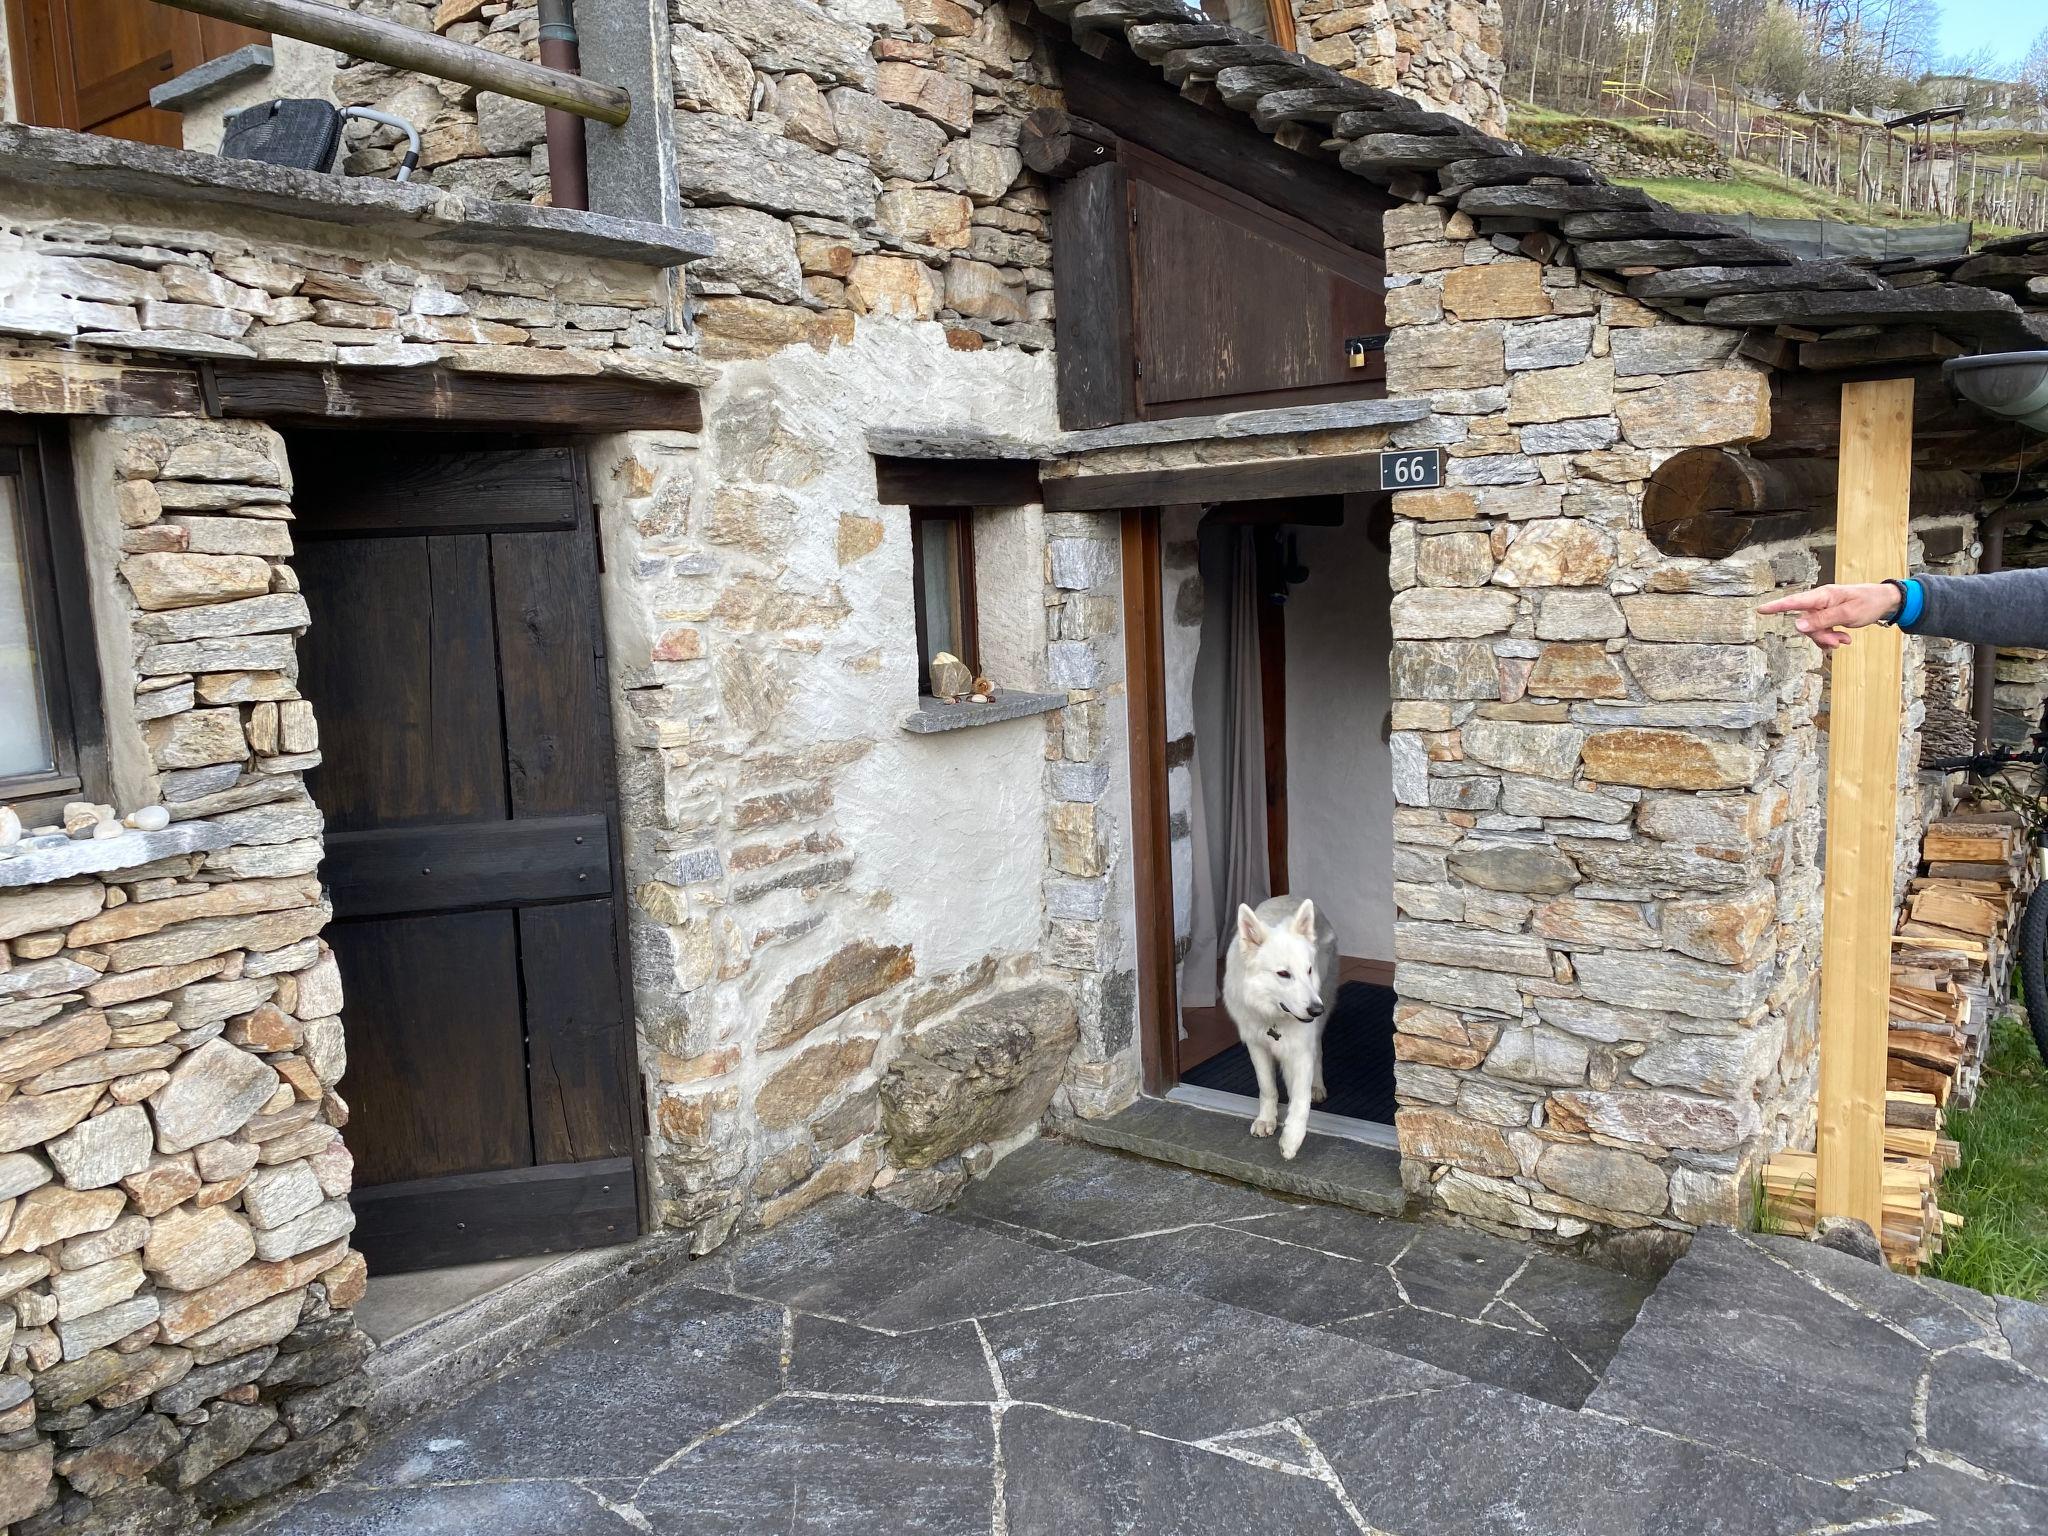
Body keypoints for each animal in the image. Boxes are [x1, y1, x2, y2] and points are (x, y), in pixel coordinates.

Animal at [1220, 897, 1335, 1163]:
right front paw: (1266, 1120)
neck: (1273, 1016)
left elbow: (1300, 1098)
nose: (1316, 1010)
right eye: (1283, 974)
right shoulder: (1256, 1045)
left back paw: (1317, 1085)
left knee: (1318, 1052)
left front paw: (1292, 1138)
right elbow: (1267, 1087)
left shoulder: (1301, 1048)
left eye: (1309, 970)